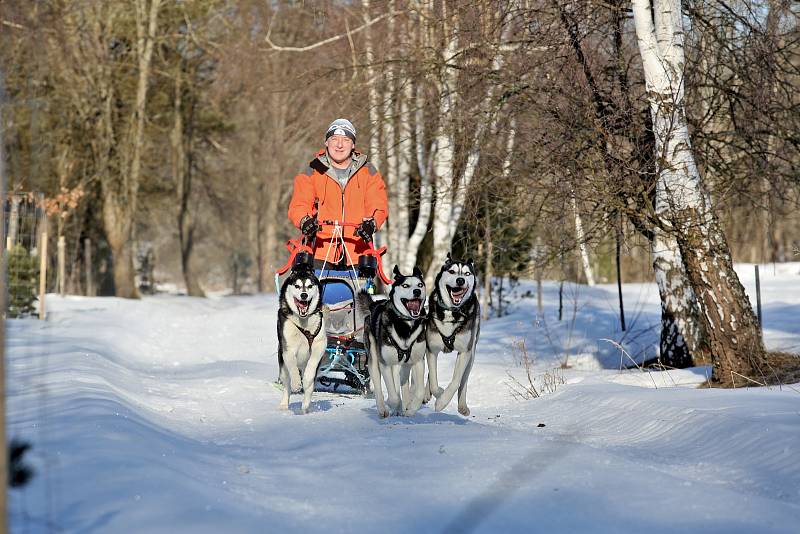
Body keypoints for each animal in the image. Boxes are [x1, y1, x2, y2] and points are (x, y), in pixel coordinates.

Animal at [276, 266, 324, 414]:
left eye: (309, 286)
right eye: (297, 286)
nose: (304, 295)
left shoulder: (320, 344)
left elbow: (312, 364)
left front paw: (306, 379)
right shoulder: (287, 349)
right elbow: (292, 364)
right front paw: (297, 383)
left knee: (310, 387)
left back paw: (305, 406)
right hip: (282, 367)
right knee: (287, 384)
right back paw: (284, 403)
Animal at [360, 266, 428, 418]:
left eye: (420, 285)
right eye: (405, 285)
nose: (417, 291)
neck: (406, 325)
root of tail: (374, 305)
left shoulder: (418, 361)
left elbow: (420, 392)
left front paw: (411, 409)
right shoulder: (385, 363)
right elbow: (393, 396)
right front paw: (393, 404)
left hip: (403, 366)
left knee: (402, 382)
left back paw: (404, 406)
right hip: (374, 359)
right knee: (378, 386)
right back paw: (383, 409)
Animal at [424, 253, 482, 416]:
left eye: (467, 273)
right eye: (452, 271)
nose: (460, 280)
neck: (452, 312)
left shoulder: (464, 352)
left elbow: (456, 381)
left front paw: (442, 402)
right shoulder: (431, 349)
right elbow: (434, 382)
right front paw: (439, 394)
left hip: (472, 355)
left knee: (464, 380)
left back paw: (462, 406)